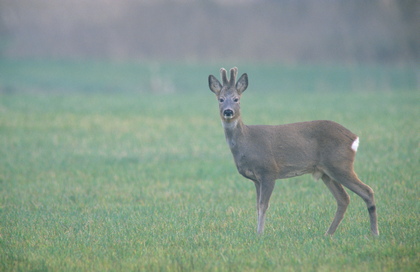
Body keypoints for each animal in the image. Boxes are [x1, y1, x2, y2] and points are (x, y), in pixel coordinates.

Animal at [208, 67, 378, 235]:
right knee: (344, 198)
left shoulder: (269, 171)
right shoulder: (256, 179)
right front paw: (258, 232)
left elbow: (263, 205)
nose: (228, 111)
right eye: (220, 99)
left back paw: (374, 233)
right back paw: (328, 234)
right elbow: (257, 206)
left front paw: (260, 234)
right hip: (327, 172)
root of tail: (354, 138)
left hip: (340, 164)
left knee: (367, 191)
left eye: (236, 99)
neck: (247, 142)